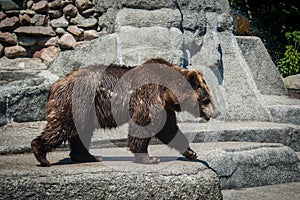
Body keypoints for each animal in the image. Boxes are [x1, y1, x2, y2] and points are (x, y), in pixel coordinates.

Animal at [31, 58, 218, 167]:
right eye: (206, 99)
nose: (216, 113)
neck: (168, 92)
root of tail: (54, 85)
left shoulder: (165, 107)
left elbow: (169, 129)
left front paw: (191, 152)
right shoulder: (148, 97)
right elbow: (144, 125)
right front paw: (150, 158)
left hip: (84, 110)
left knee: (81, 132)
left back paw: (90, 156)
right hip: (76, 102)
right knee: (62, 126)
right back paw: (41, 155)